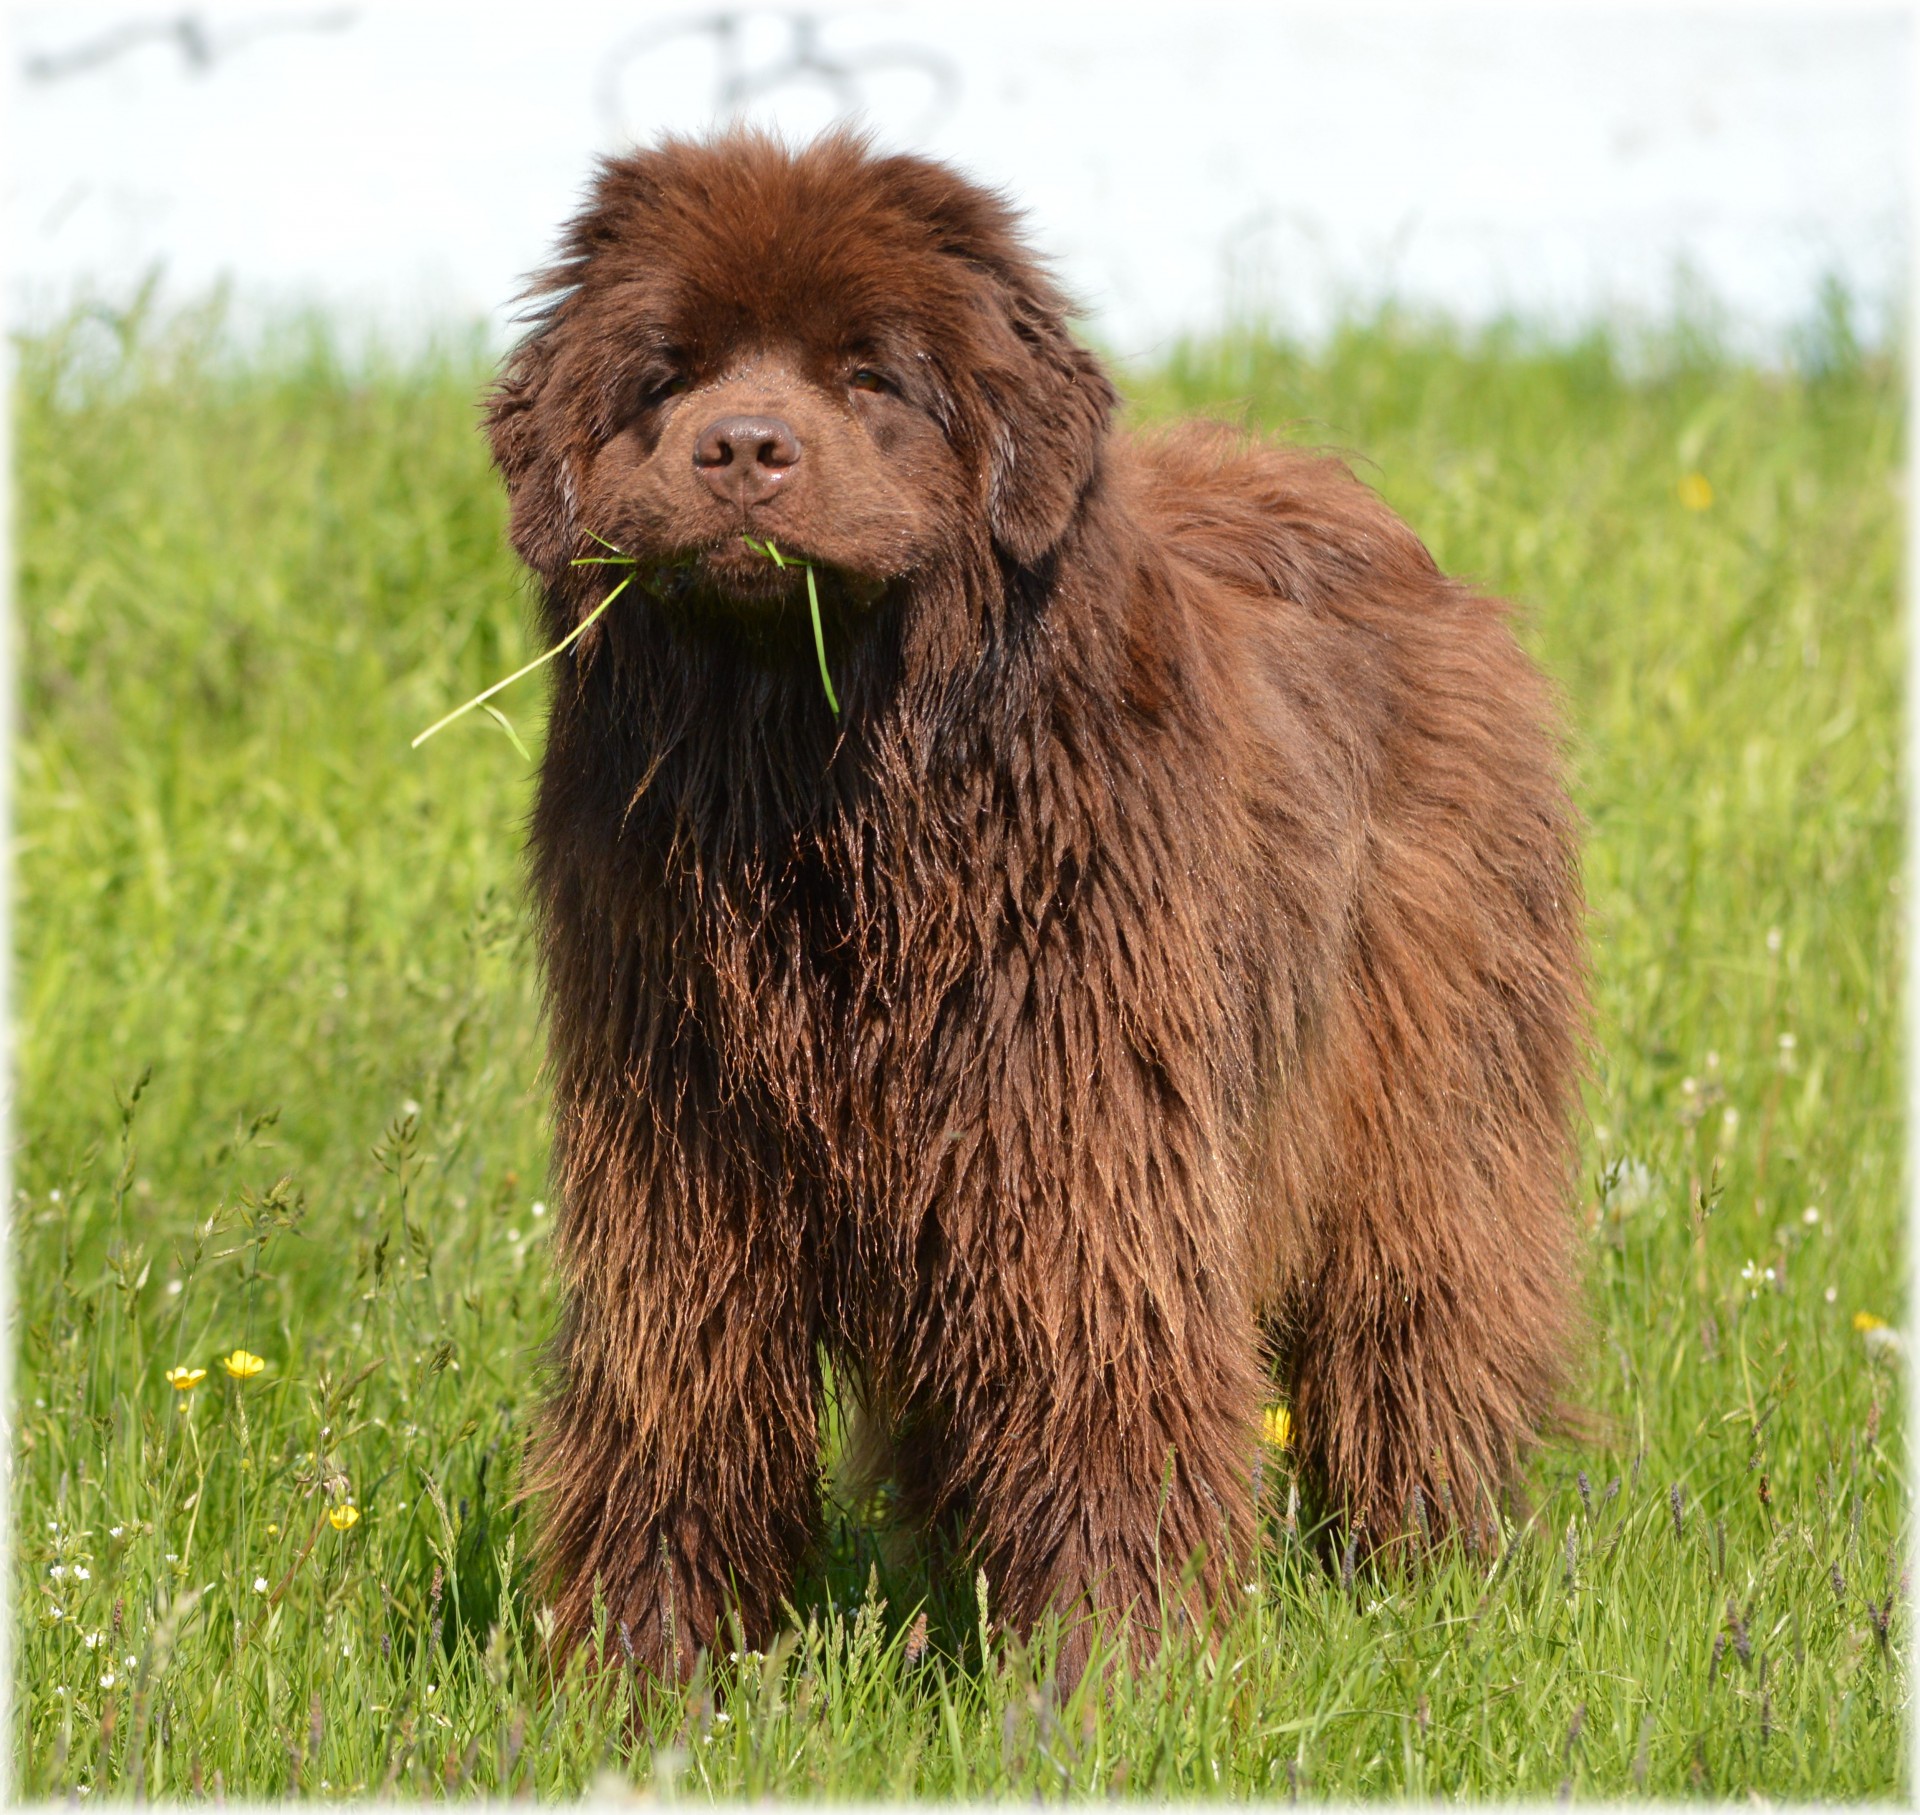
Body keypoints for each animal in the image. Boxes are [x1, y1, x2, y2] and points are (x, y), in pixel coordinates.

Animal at [483, 134, 1589, 1674]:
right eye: (666, 374)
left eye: (870, 374)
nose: (745, 448)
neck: (825, 800)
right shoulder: (680, 1133)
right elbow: (684, 1382)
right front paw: (639, 1668)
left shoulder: (1077, 1121)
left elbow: (1096, 1361)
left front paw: (1115, 1665)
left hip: (1434, 1072)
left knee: (1423, 1306)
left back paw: (1428, 1559)